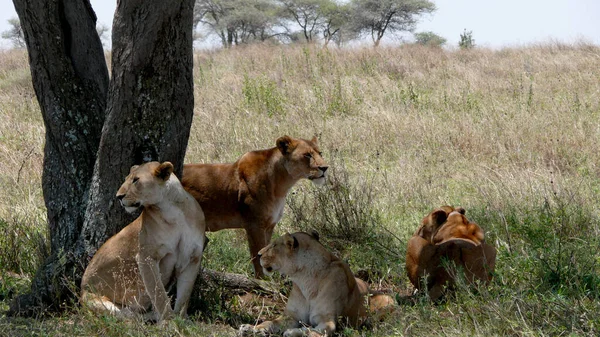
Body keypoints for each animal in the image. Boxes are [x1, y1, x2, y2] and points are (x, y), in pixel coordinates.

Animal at [80, 160, 206, 320]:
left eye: (136, 180)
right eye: (126, 179)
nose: (118, 196)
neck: (172, 210)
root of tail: (80, 290)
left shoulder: (193, 257)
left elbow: (184, 296)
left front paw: (181, 320)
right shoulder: (146, 256)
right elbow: (159, 293)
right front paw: (169, 321)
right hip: (99, 302)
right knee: (127, 316)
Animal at [182, 135, 328, 276]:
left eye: (320, 153)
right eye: (307, 155)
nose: (325, 168)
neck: (281, 186)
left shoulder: (269, 226)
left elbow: (268, 251)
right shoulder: (254, 225)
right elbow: (257, 257)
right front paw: (262, 281)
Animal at [237, 231, 396, 336]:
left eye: (274, 245)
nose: (258, 254)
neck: (304, 279)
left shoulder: (327, 320)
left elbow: (313, 332)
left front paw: (294, 331)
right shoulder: (291, 316)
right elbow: (270, 322)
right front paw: (251, 328)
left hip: (387, 301)